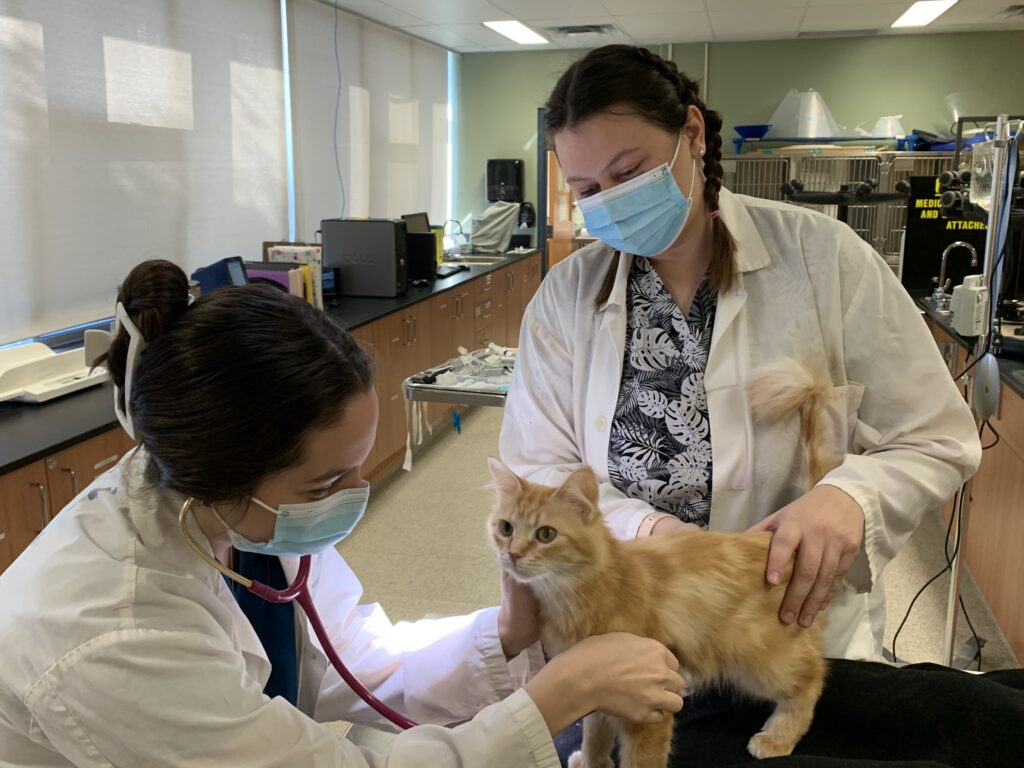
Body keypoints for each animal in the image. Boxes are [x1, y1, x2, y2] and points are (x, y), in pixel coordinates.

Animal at [489, 362, 839, 768]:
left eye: (545, 534)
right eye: (505, 528)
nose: (513, 554)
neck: (575, 595)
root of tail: (775, 540)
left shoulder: (648, 707)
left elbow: (641, 759)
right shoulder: (596, 685)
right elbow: (595, 733)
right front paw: (591, 762)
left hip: (762, 658)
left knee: (812, 680)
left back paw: (777, 737)